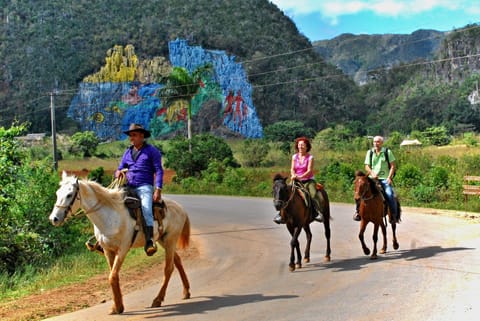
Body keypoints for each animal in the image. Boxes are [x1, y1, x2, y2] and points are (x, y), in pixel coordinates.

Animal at [49, 171, 191, 314]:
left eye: (69, 195)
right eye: (57, 193)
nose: (53, 219)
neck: (109, 216)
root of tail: (181, 208)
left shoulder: (122, 249)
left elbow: (112, 276)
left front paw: (118, 307)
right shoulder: (108, 250)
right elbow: (113, 275)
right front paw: (116, 306)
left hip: (170, 240)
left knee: (169, 268)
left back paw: (158, 299)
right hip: (163, 240)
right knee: (177, 261)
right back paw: (186, 291)